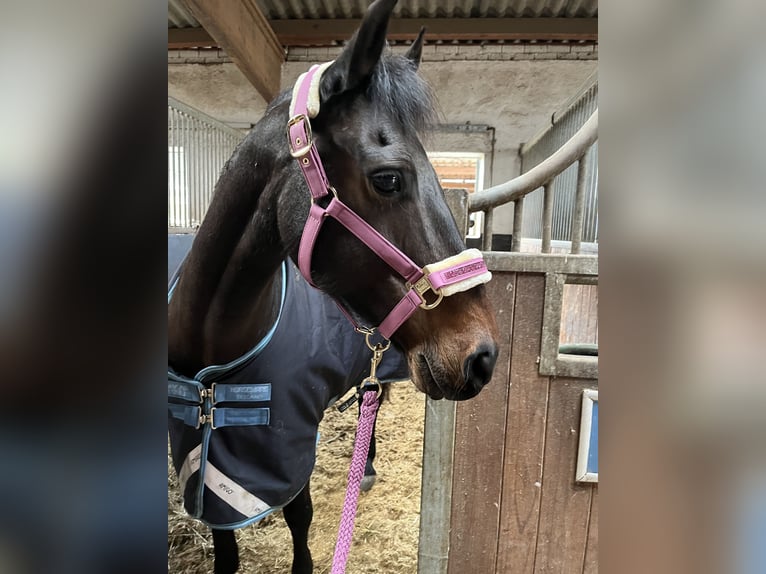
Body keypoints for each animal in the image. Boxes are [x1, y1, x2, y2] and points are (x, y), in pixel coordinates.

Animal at [167, 1, 500, 572]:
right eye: (388, 178)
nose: (483, 357)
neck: (214, 349)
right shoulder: (201, 451)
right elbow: (223, 536)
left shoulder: (290, 439)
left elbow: (298, 514)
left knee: (377, 401)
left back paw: (364, 469)